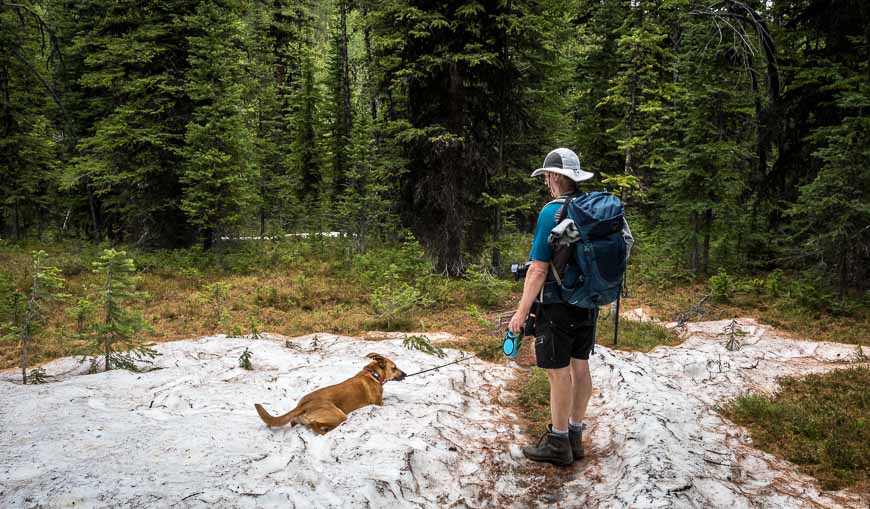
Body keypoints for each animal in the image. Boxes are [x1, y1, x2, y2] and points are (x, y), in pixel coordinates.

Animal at [254, 354, 408, 432]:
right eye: (394, 368)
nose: (405, 374)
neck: (373, 374)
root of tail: (302, 406)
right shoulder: (379, 403)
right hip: (339, 414)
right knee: (315, 426)